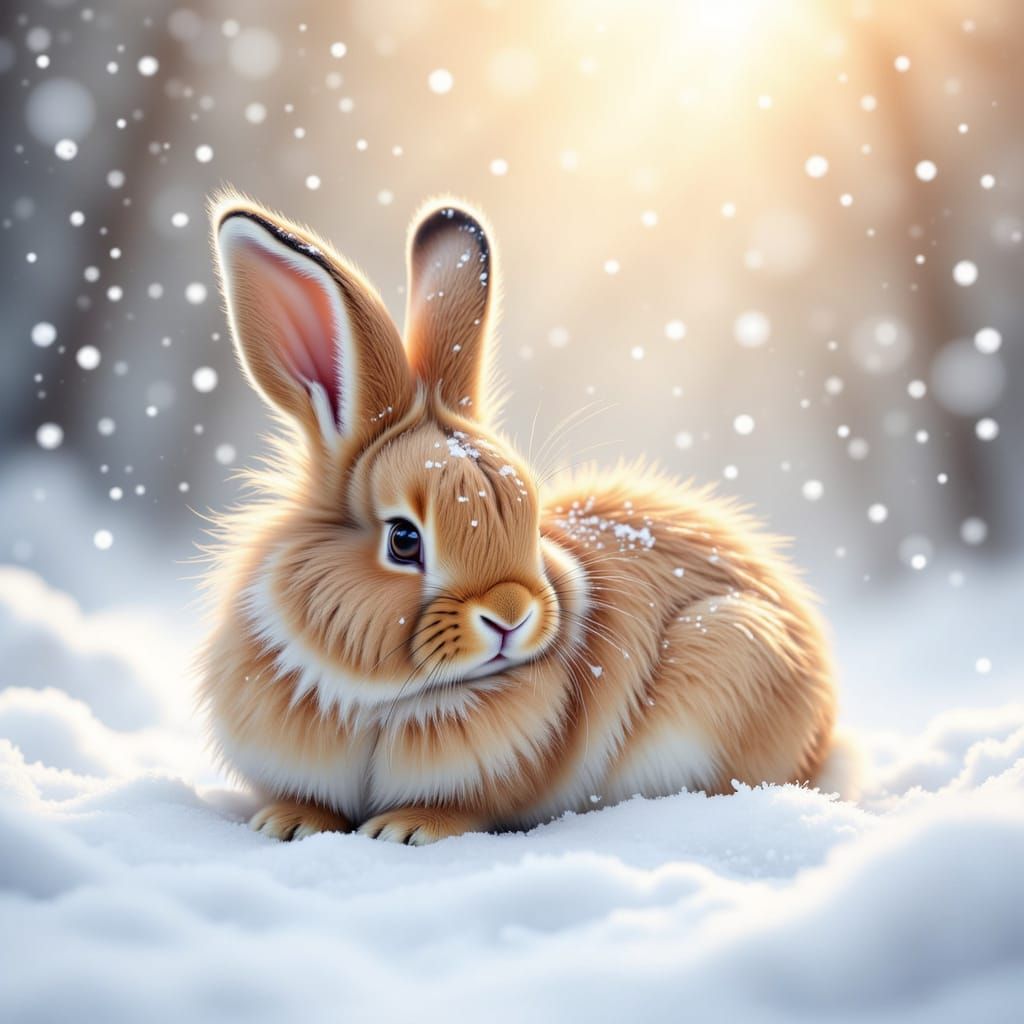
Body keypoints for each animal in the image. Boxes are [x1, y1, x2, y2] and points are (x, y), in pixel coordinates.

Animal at [200, 189, 837, 845]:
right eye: (403, 540)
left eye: (531, 520)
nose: (510, 615)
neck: (384, 698)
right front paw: (289, 821)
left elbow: (465, 808)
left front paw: (404, 829)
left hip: (734, 644)